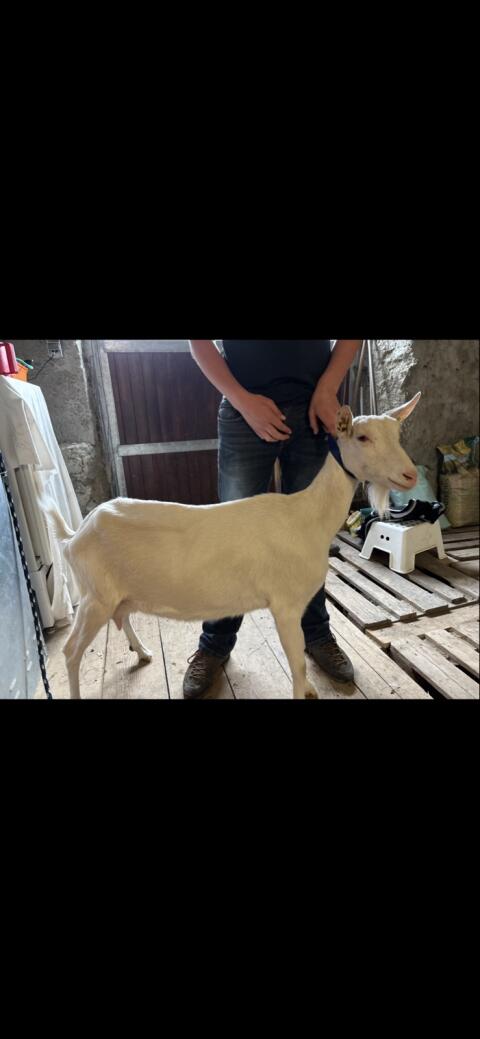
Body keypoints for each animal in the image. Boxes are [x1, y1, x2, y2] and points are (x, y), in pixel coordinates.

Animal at [46, 394, 421, 699]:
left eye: (397, 435)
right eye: (362, 437)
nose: (410, 475)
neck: (306, 517)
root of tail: (75, 534)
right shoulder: (284, 604)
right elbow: (297, 664)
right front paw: (304, 691)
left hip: (112, 593)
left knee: (120, 616)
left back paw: (143, 652)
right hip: (94, 597)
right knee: (71, 652)